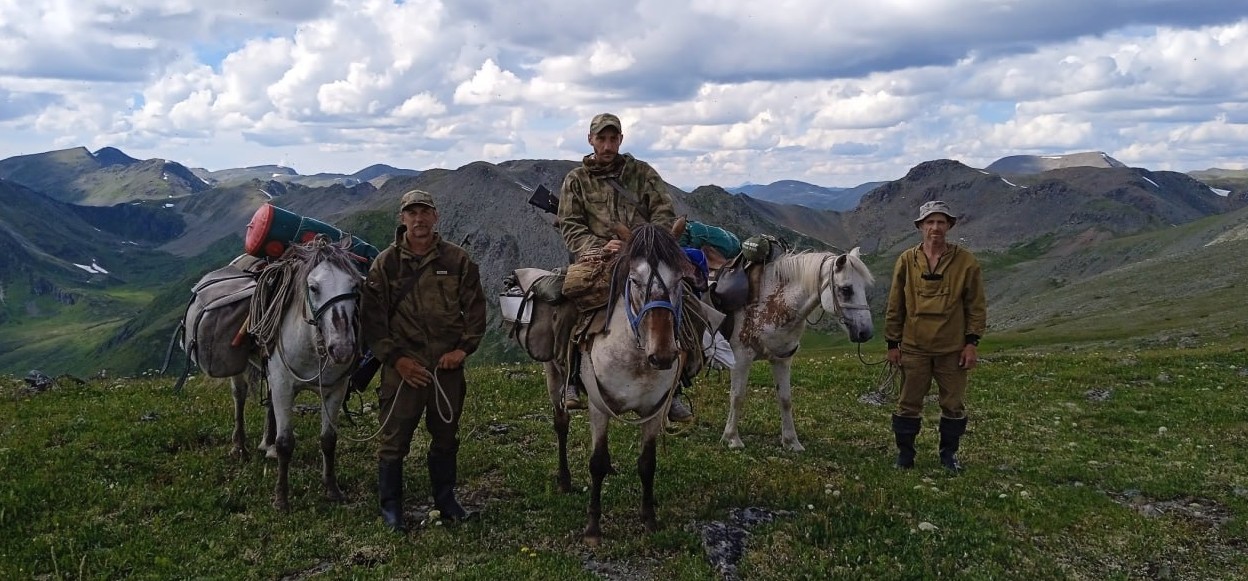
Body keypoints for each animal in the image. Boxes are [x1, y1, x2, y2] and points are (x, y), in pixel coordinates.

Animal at [230, 235, 364, 508]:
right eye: (313, 287)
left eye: (355, 286)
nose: (342, 348)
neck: (312, 346)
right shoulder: (284, 385)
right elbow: (285, 443)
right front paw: (281, 499)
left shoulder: (335, 390)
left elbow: (328, 439)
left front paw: (332, 489)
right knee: (239, 397)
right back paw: (239, 447)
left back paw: (266, 445)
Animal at [534, 220, 698, 543]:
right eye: (633, 280)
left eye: (680, 280)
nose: (663, 355)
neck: (634, 357)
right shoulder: (599, 408)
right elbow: (595, 463)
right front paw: (593, 529)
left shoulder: (653, 411)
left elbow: (647, 464)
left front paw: (649, 519)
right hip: (553, 375)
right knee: (561, 424)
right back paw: (564, 481)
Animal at [718, 246, 873, 451]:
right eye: (846, 289)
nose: (866, 333)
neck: (771, 301)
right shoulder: (741, 357)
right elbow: (737, 396)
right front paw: (732, 438)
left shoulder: (782, 359)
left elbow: (785, 400)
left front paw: (791, 441)